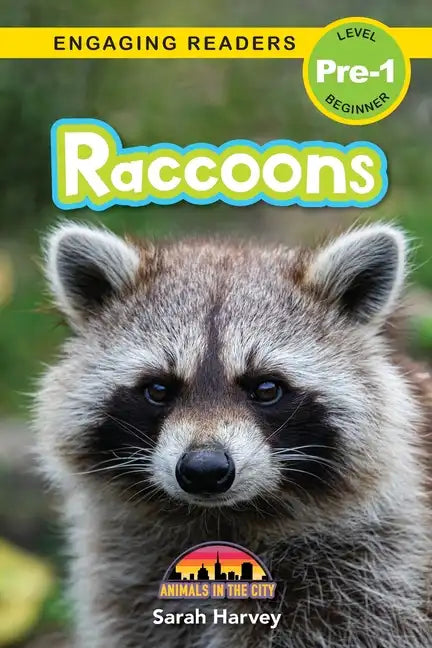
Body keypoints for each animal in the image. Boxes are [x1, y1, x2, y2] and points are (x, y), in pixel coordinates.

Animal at [34, 222, 432, 648]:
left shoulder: (374, 578)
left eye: (266, 388)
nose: (204, 469)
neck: (220, 520)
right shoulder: (130, 578)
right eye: (158, 389)